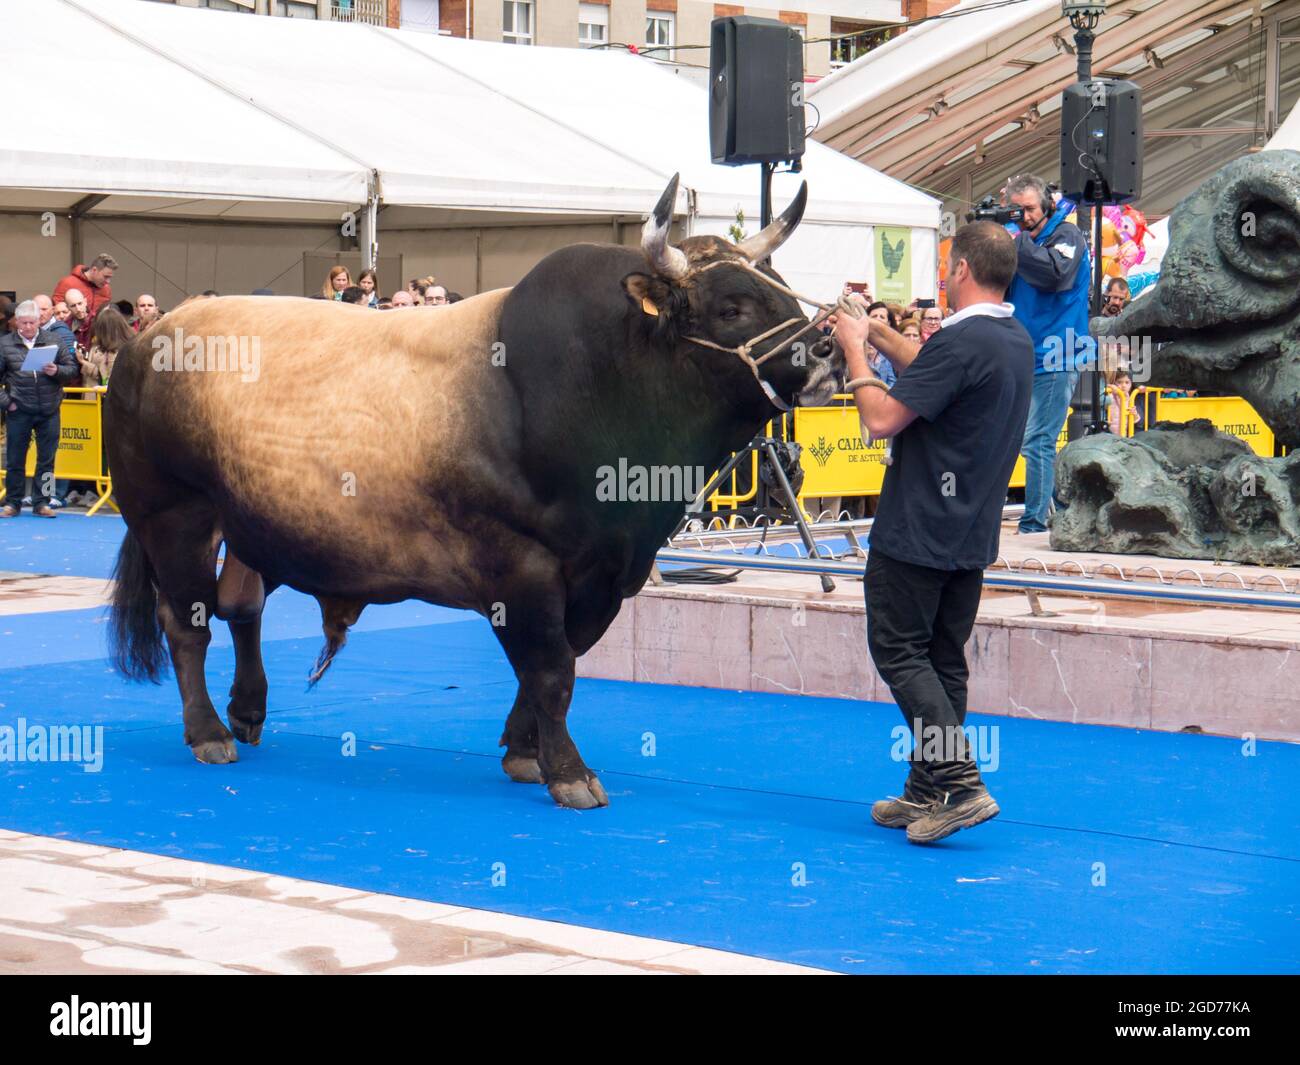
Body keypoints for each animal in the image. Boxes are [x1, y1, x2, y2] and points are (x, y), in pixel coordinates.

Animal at [101, 176, 832, 806]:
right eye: (731, 306)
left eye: (784, 291)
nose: (825, 348)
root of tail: (152, 336)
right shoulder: (520, 563)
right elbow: (551, 669)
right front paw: (569, 772)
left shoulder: (604, 572)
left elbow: (557, 662)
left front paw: (524, 750)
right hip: (174, 515)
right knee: (187, 620)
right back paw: (208, 733)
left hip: (252, 522)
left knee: (242, 606)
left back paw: (248, 709)